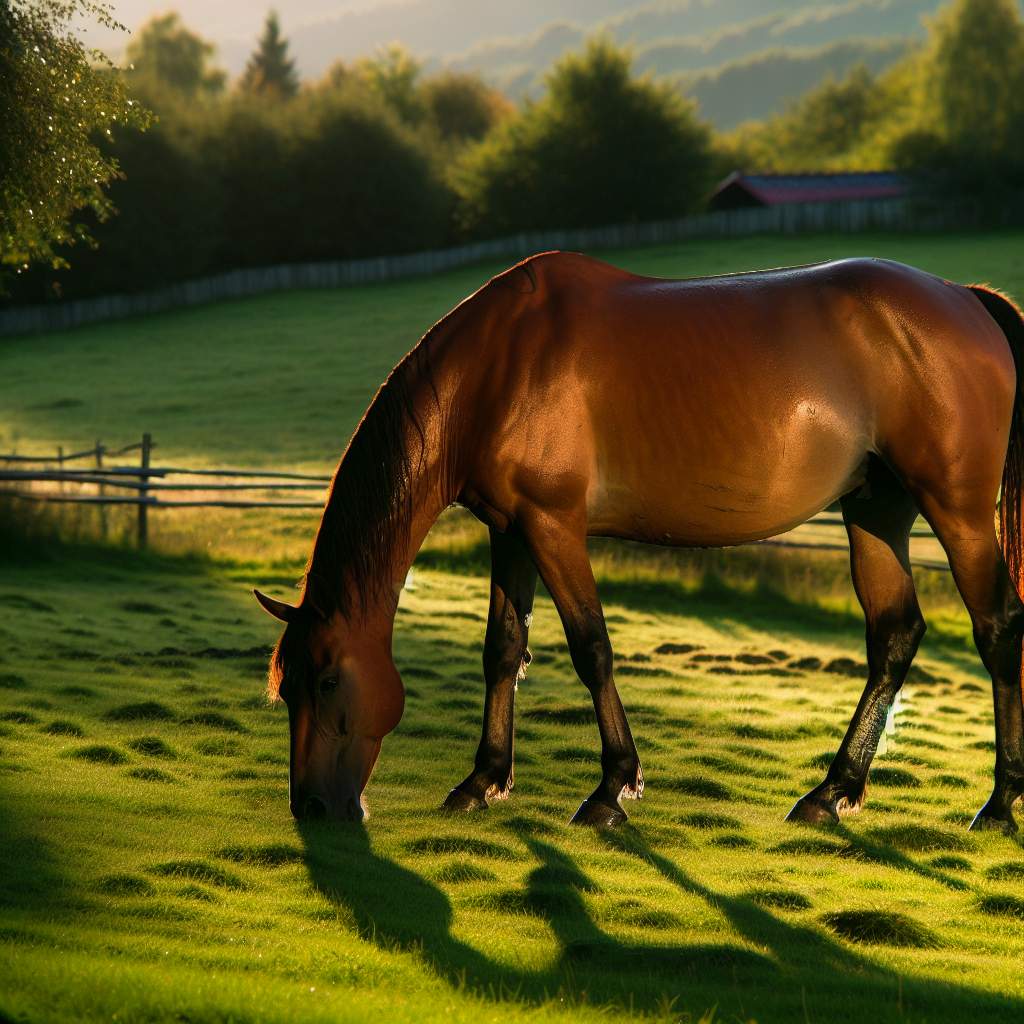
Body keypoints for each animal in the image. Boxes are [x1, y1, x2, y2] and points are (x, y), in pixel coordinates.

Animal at [253, 251, 1024, 835]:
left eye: (326, 681)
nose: (313, 807)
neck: (498, 368)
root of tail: (963, 297)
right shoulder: (510, 531)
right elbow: (502, 650)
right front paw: (482, 780)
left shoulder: (552, 525)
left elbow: (591, 648)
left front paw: (610, 790)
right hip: (876, 514)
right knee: (895, 635)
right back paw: (830, 793)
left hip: (956, 511)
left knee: (996, 628)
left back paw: (998, 803)